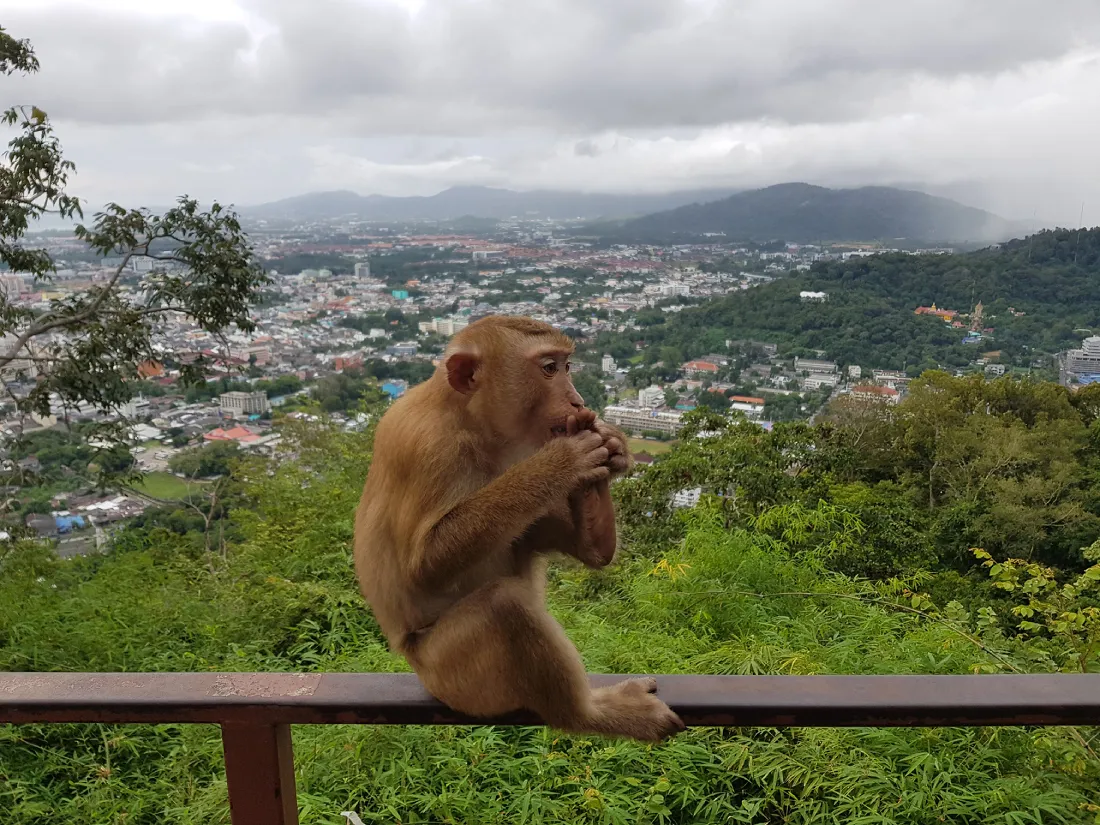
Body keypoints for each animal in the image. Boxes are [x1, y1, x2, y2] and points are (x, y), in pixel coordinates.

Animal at [352, 316, 682, 743]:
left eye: (567, 366)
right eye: (549, 368)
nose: (577, 401)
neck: (472, 424)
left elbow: (589, 554)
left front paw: (609, 448)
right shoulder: (425, 448)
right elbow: (424, 566)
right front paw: (562, 461)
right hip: (454, 676)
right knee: (504, 604)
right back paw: (587, 714)